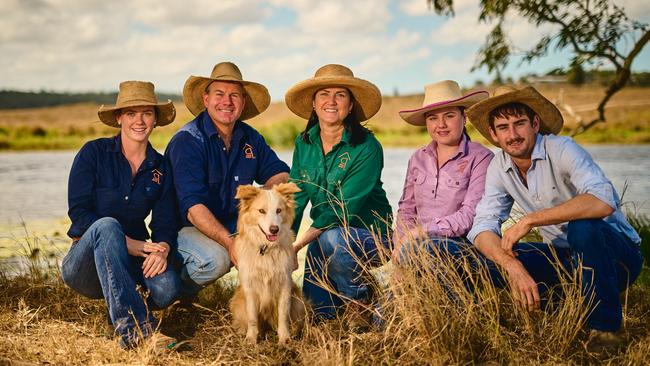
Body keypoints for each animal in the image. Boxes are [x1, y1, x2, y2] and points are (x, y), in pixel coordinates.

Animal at [228, 183, 306, 346]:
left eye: (279, 210)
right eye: (261, 211)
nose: (274, 229)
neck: (266, 249)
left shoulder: (285, 285)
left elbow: (283, 316)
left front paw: (284, 339)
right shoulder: (250, 288)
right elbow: (252, 318)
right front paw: (251, 339)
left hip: (298, 301)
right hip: (238, 302)